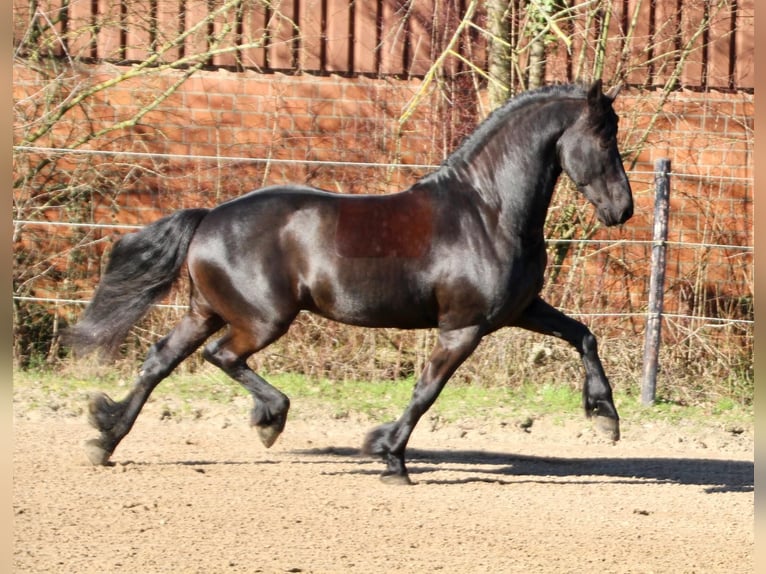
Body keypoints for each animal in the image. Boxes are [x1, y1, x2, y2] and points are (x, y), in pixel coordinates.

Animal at [66, 80, 633, 484]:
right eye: (605, 139)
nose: (622, 210)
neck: (487, 211)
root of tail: (208, 218)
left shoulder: (520, 310)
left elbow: (584, 335)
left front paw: (605, 416)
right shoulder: (462, 328)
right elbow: (426, 391)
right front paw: (390, 458)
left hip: (206, 311)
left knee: (160, 360)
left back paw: (104, 439)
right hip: (262, 319)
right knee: (222, 356)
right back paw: (269, 418)